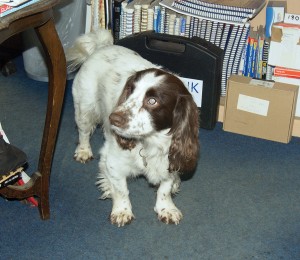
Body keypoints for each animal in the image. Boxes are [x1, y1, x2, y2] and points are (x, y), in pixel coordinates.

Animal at [67, 30, 200, 225]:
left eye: (152, 101)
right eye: (129, 90)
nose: (113, 118)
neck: (150, 142)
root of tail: (102, 47)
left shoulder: (171, 161)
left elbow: (165, 188)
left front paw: (167, 208)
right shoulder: (112, 160)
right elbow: (121, 189)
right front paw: (122, 211)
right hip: (85, 107)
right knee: (83, 132)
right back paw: (83, 151)